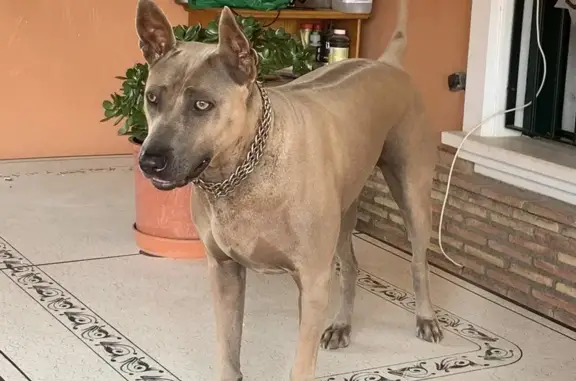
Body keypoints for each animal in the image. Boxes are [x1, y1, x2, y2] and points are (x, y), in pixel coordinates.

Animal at [136, 1, 440, 378]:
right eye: (152, 98)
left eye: (202, 105)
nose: (149, 160)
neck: (240, 173)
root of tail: (387, 62)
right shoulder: (223, 270)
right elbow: (228, 348)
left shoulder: (311, 282)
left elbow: (300, 365)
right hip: (345, 210)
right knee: (351, 265)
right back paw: (342, 325)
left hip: (412, 193)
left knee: (418, 262)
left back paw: (425, 317)